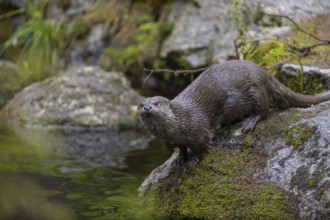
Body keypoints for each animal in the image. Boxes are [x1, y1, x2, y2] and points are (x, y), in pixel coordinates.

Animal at [138, 59, 330, 166]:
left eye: (156, 103)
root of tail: (264, 73)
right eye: (141, 105)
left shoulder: (198, 130)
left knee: (264, 110)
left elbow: (202, 147)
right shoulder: (176, 139)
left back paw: (249, 122)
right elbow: (181, 147)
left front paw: (193, 160)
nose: (147, 108)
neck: (177, 125)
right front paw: (180, 158)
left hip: (256, 90)